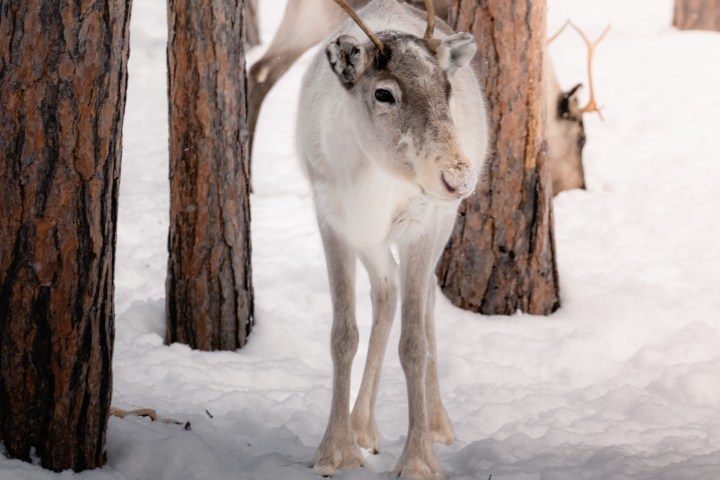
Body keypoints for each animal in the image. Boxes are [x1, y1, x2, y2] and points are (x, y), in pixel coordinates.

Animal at [295, 0, 488, 478]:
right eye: (384, 93)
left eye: (446, 89)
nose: (458, 177)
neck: (370, 179)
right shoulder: (332, 220)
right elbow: (342, 335)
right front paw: (335, 450)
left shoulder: (422, 224)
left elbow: (414, 343)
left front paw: (419, 460)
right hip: (370, 242)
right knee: (386, 289)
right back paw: (362, 424)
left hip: (443, 222)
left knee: (426, 298)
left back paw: (437, 423)